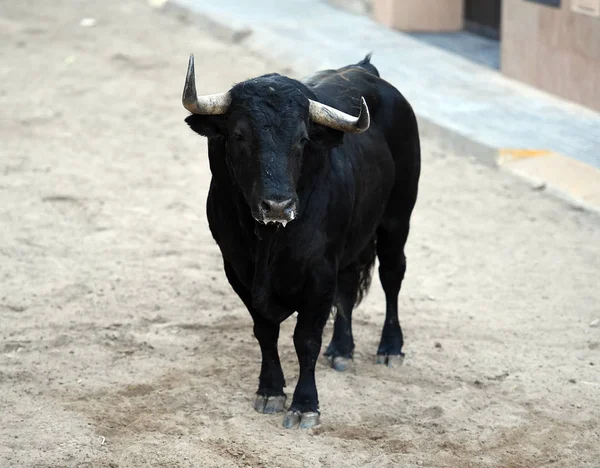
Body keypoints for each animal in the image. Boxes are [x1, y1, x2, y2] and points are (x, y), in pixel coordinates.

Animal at [183, 54, 422, 428]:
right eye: (239, 135)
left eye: (301, 139)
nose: (278, 205)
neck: (268, 240)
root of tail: (366, 69)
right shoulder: (236, 270)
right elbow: (265, 331)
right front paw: (270, 391)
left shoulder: (319, 273)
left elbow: (306, 338)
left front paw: (305, 405)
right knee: (349, 285)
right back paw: (342, 350)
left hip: (397, 219)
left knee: (392, 275)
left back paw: (390, 348)